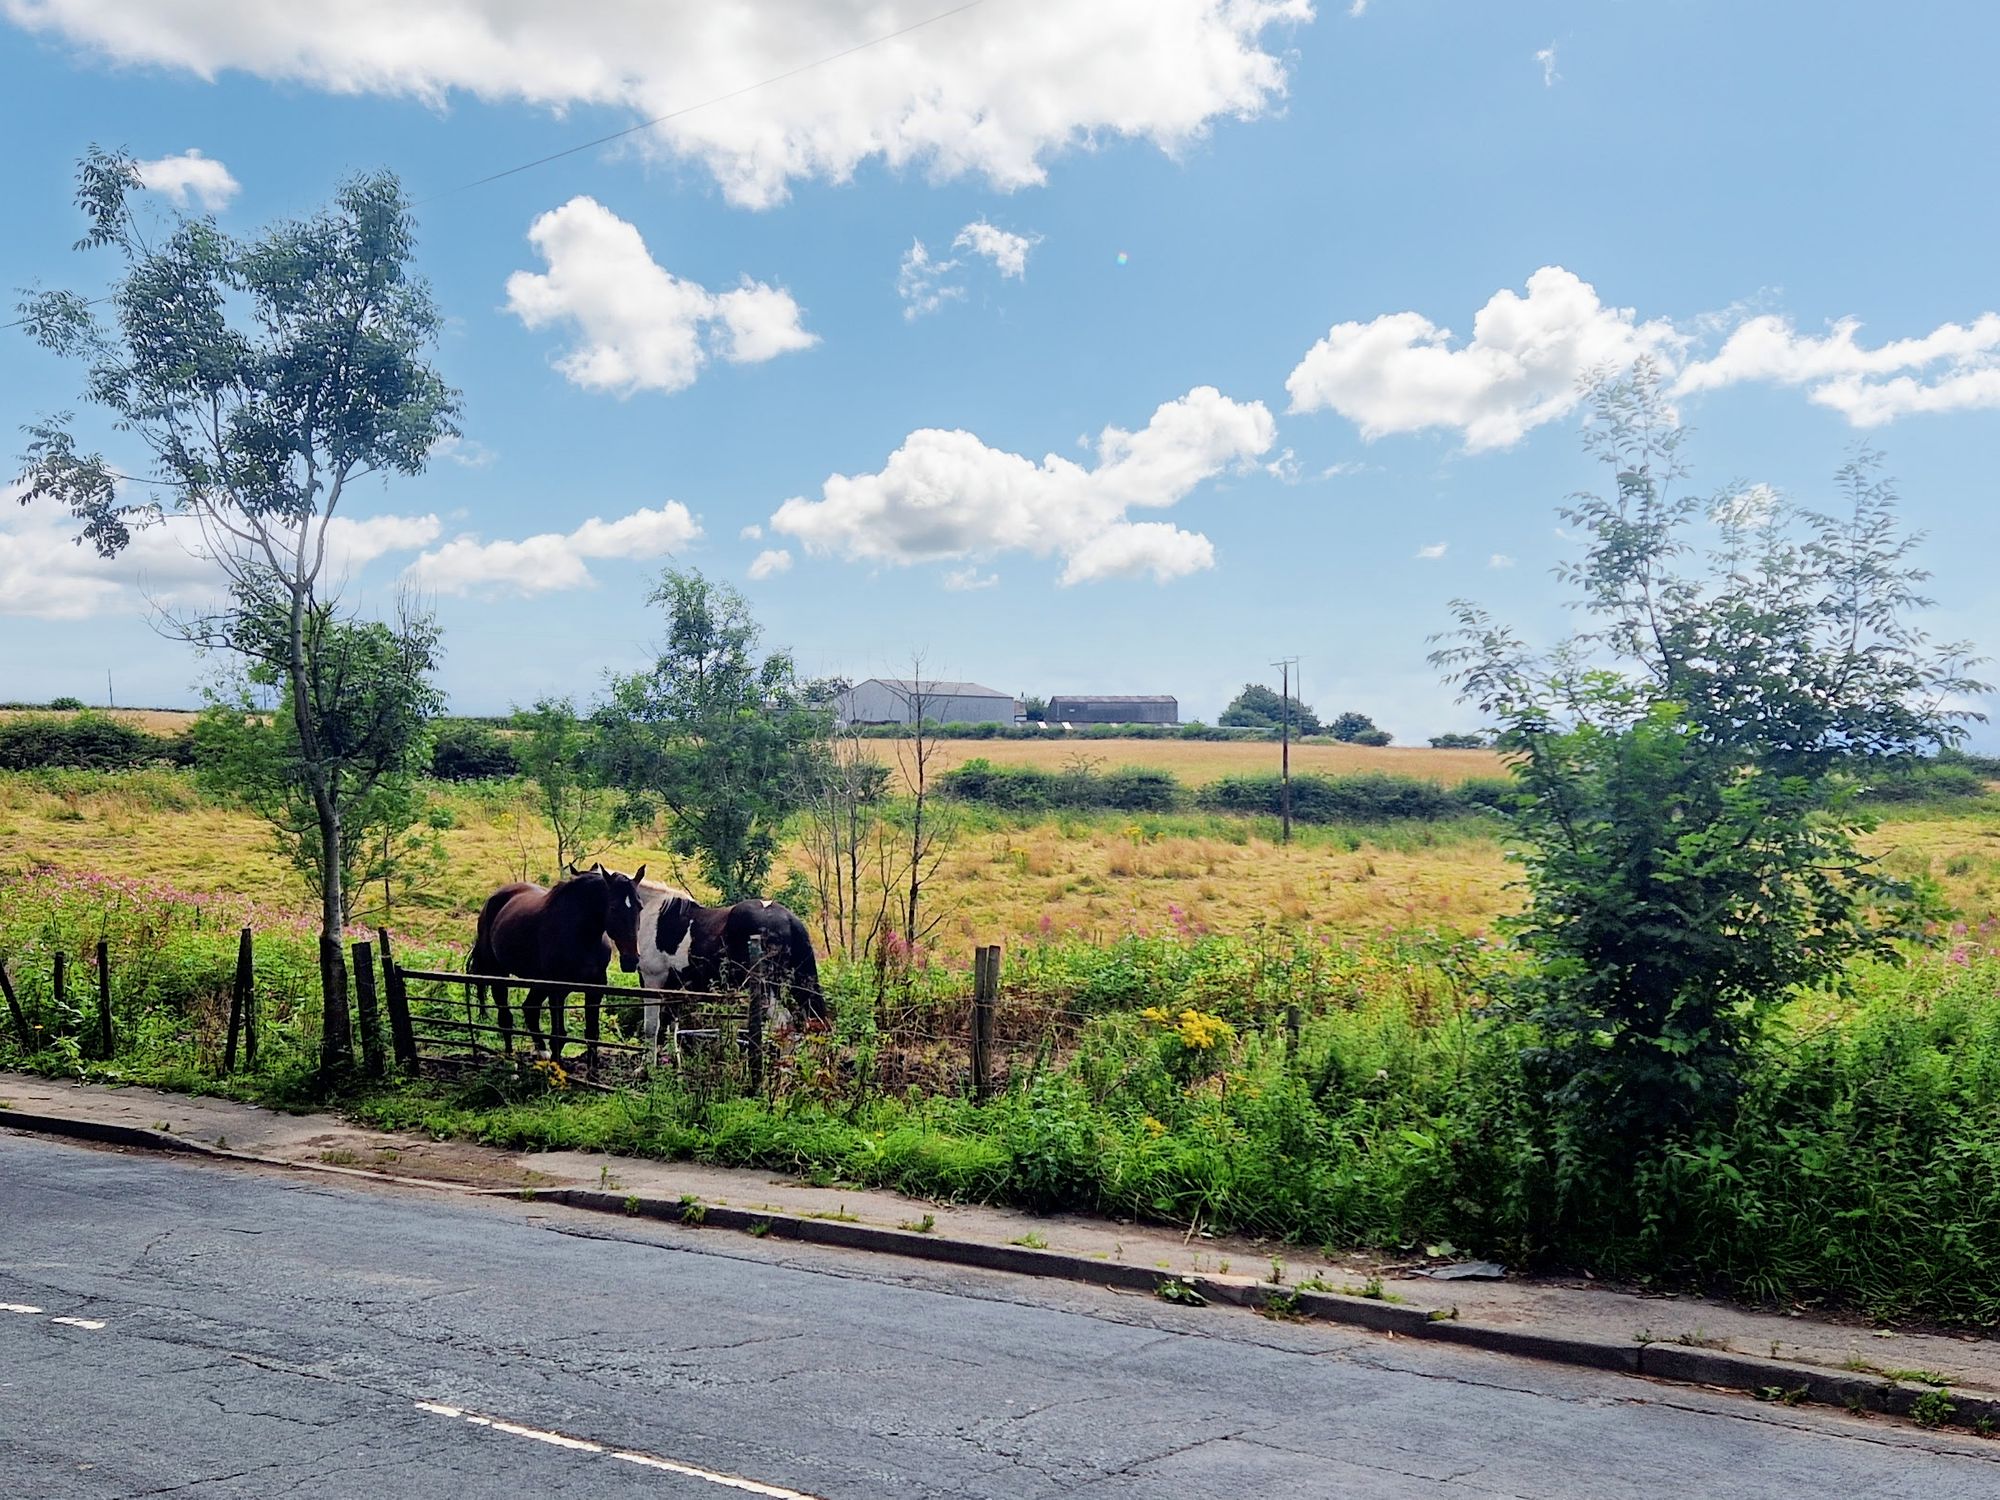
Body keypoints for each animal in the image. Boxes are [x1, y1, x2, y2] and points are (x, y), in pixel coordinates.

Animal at [464, 864, 644, 1064]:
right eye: (613, 907)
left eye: (640, 907)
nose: (631, 960)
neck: (582, 937)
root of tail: (493, 899)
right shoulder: (557, 991)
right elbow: (559, 1035)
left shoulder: (595, 988)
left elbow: (592, 1033)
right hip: (499, 974)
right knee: (505, 1018)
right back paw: (510, 1060)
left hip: (538, 983)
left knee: (530, 1009)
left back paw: (541, 1052)